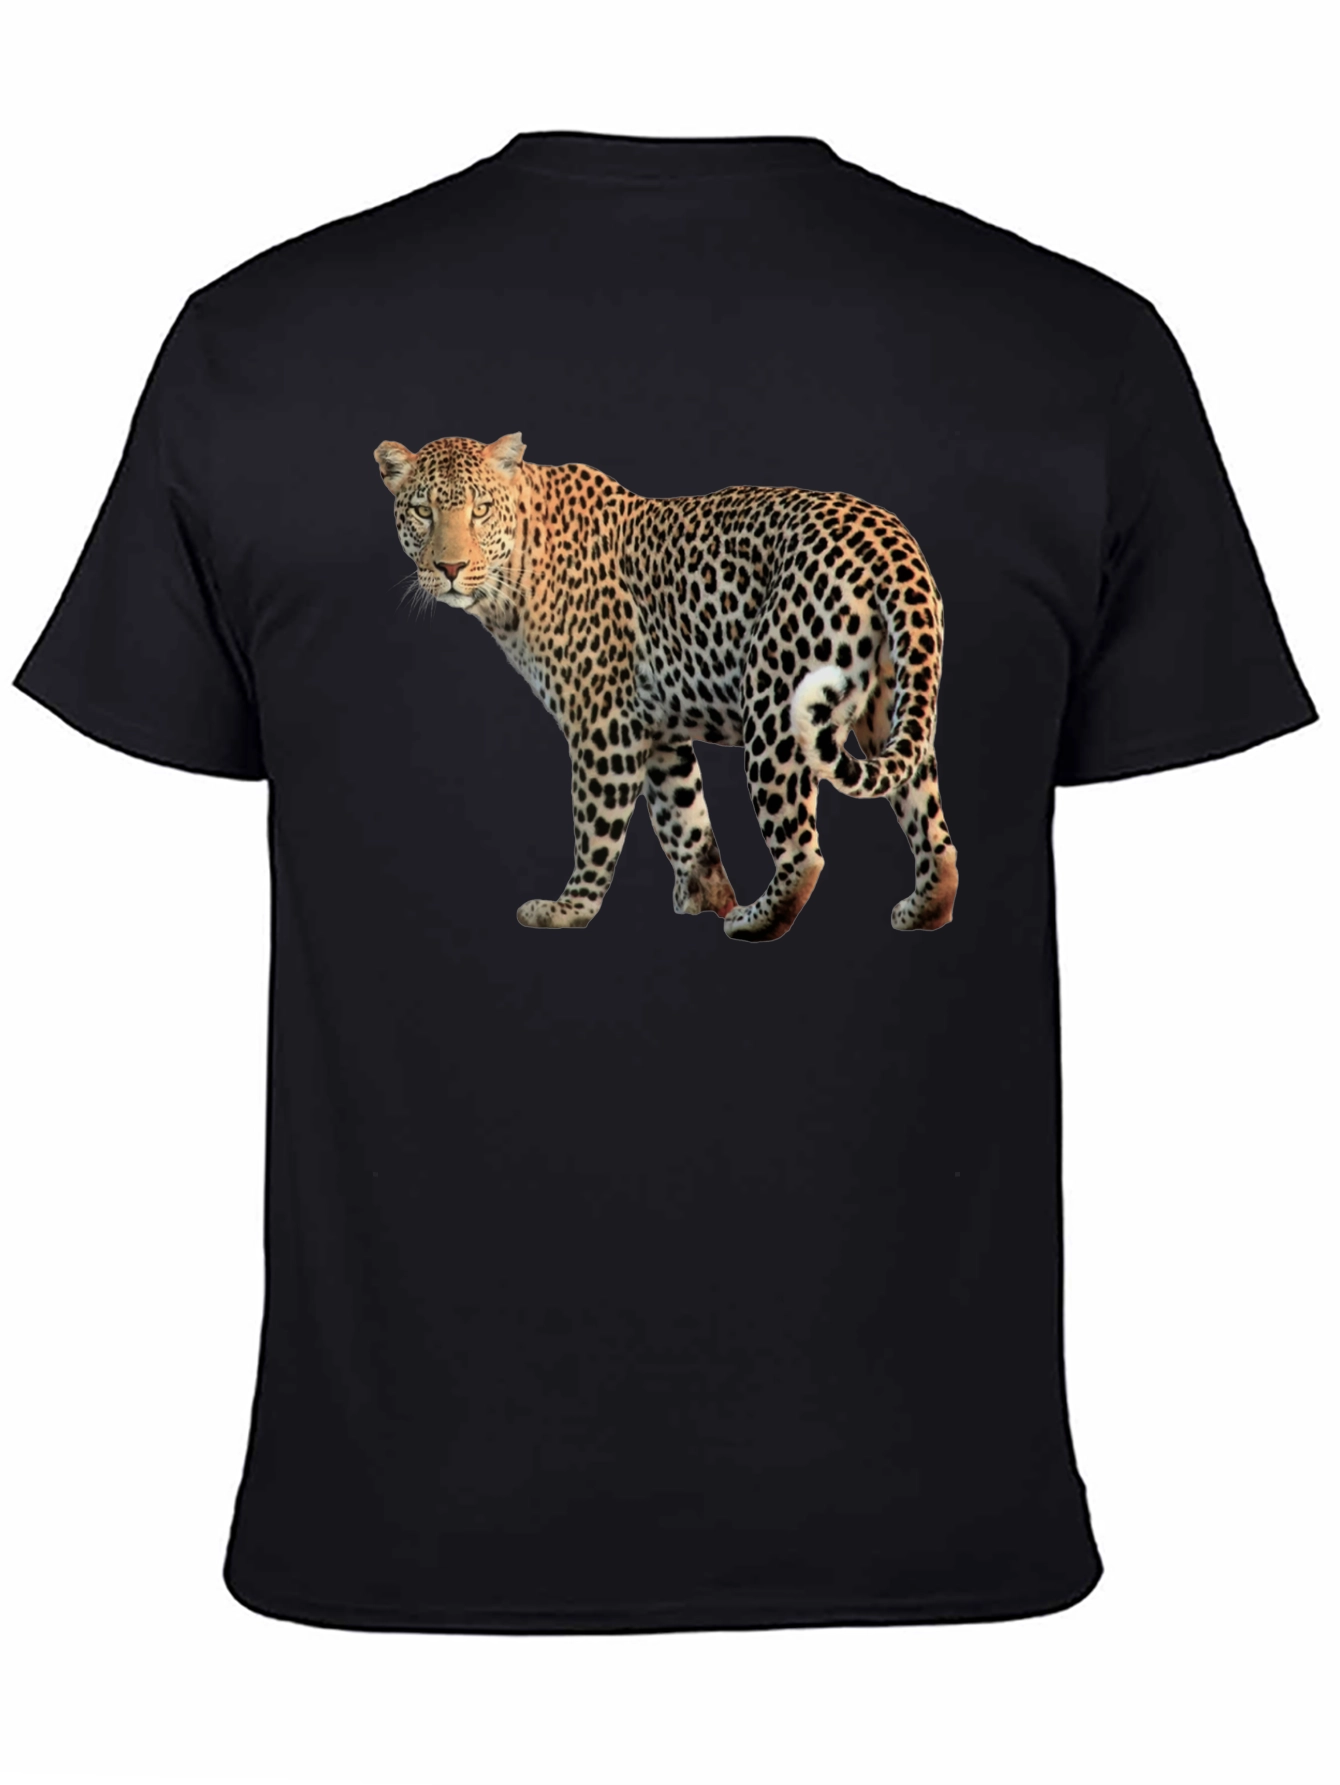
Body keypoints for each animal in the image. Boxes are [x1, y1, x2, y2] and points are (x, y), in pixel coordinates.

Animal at [375, 433, 958, 942]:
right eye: (423, 511)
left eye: (479, 510)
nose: (450, 566)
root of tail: (891, 540)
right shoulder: (657, 730)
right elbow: (685, 820)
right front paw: (704, 896)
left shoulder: (604, 723)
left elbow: (596, 825)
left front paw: (570, 909)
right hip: (892, 708)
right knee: (933, 830)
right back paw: (923, 909)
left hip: (775, 708)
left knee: (803, 852)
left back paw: (754, 921)